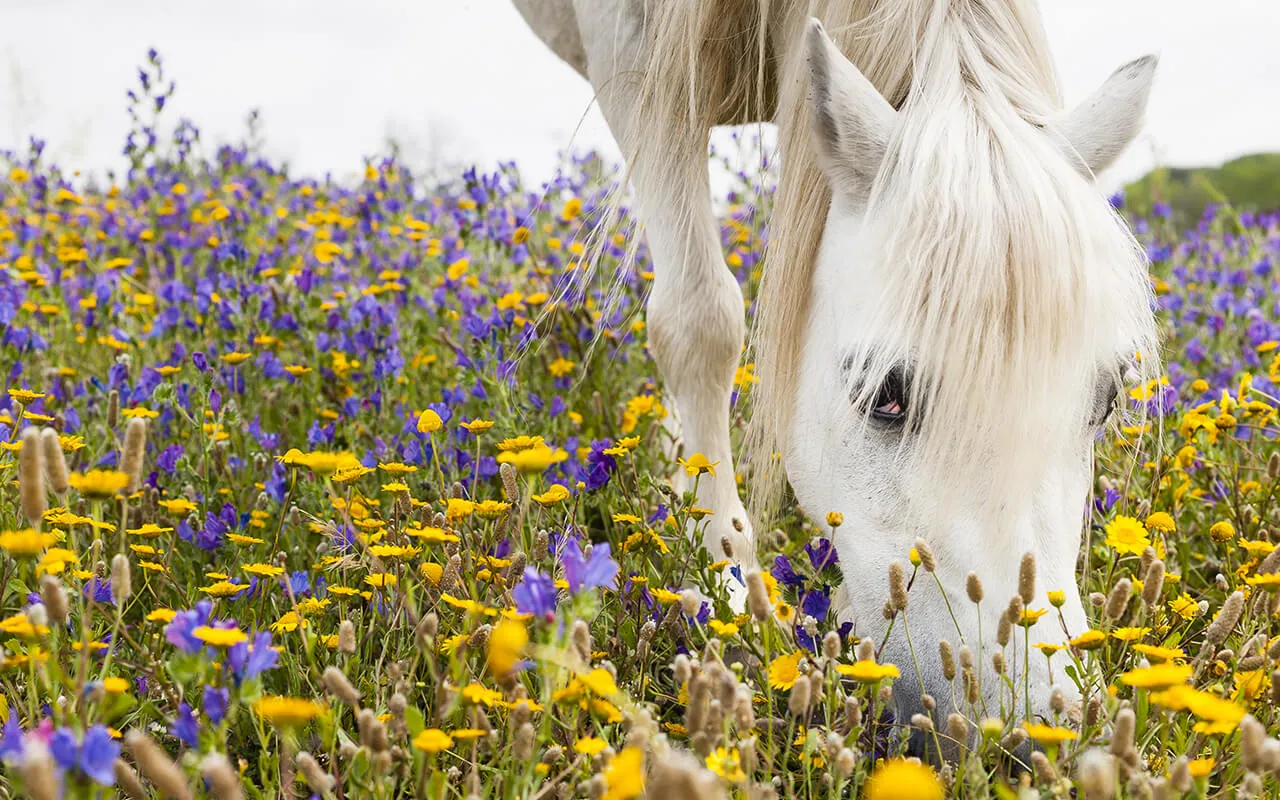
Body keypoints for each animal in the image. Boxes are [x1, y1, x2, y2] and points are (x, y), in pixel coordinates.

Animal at [511, 0, 1159, 737]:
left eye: (1106, 400)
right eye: (887, 396)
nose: (1032, 733)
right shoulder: (642, 63)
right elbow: (699, 319)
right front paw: (727, 594)